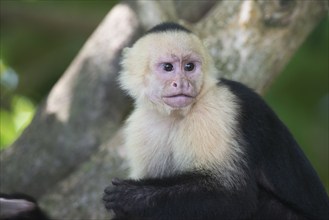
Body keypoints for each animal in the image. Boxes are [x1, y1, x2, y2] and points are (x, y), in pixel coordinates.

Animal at [103, 21, 328, 219]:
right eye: (168, 67)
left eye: (189, 66)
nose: (182, 83)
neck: (177, 115)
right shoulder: (142, 125)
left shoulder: (216, 109)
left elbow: (233, 196)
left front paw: (131, 196)